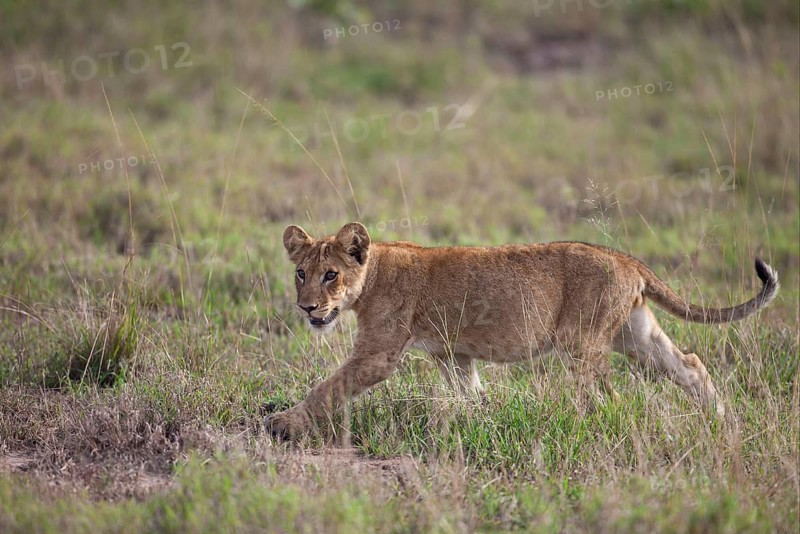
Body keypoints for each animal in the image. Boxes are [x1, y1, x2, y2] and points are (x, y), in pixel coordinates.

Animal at [265, 222, 779, 439]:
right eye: (301, 273)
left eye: (330, 275)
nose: (306, 307)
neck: (371, 277)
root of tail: (625, 258)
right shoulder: (453, 354)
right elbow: (471, 393)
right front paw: (481, 420)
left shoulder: (378, 355)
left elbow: (328, 387)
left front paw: (284, 423)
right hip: (636, 334)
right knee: (690, 365)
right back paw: (724, 421)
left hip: (582, 342)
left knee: (602, 396)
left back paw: (579, 428)